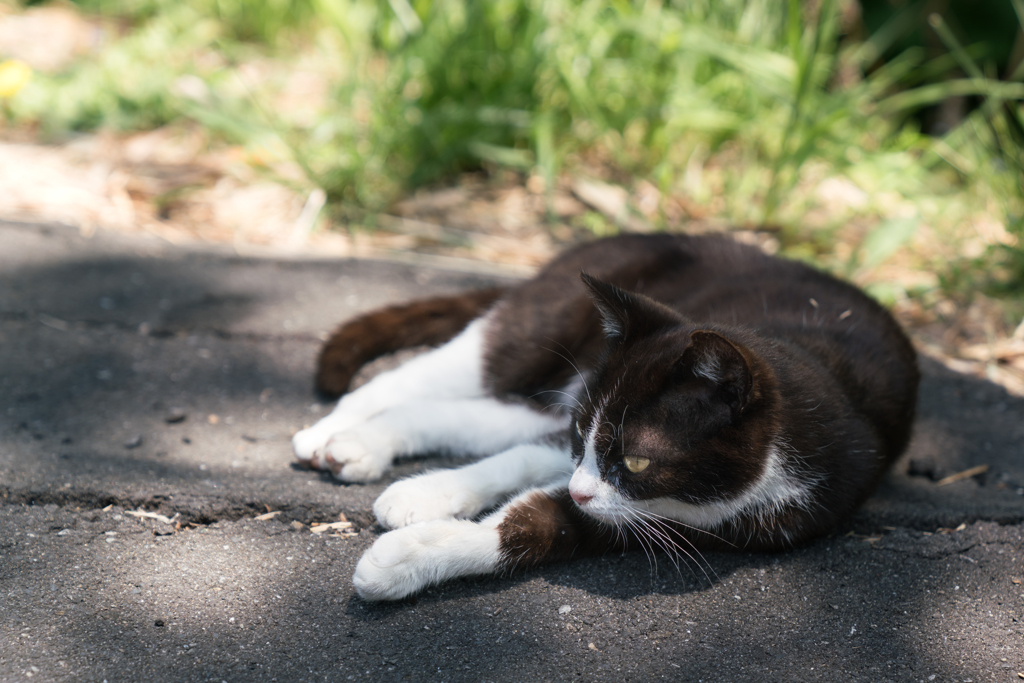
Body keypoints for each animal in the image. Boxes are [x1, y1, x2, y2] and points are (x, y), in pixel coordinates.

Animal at [290, 232, 921, 602]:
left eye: (637, 460)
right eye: (583, 433)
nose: (581, 486)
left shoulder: (713, 521)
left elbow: (536, 524)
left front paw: (404, 555)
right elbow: (519, 465)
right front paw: (419, 506)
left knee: (479, 417)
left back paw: (362, 448)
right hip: (539, 323)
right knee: (437, 376)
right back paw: (332, 434)